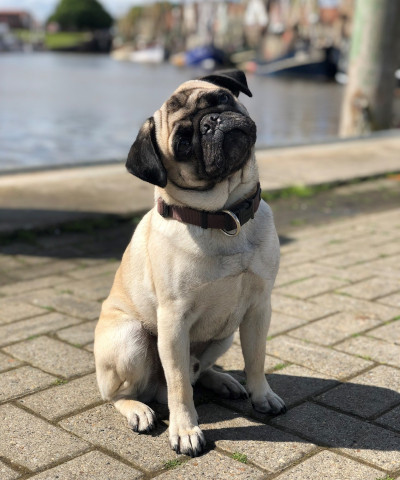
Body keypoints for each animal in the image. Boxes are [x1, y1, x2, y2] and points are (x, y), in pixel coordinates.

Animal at [94, 70, 284, 458]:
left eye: (221, 99)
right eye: (182, 143)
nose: (210, 123)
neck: (223, 216)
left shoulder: (259, 308)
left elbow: (256, 358)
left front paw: (261, 395)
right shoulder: (174, 321)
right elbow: (180, 383)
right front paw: (184, 430)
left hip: (226, 333)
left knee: (199, 369)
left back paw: (222, 380)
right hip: (131, 338)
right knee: (124, 392)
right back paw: (139, 410)